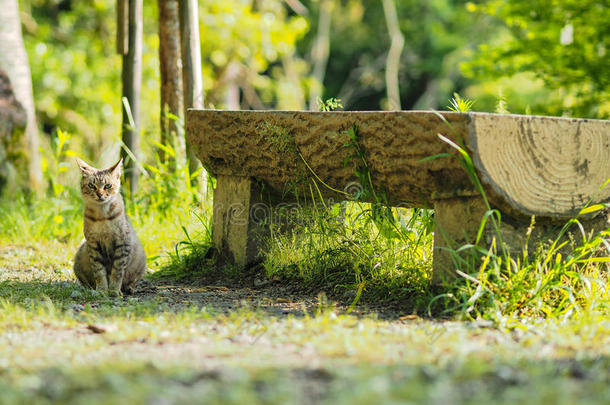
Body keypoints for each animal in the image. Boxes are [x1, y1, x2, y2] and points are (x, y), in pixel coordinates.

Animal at [72, 157, 145, 294]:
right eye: (91, 186)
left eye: (108, 186)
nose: (100, 194)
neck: (102, 217)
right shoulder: (93, 244)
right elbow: (99, 271)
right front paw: (102, 290)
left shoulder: (122, 242)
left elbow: (117, 271)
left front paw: (114, 290)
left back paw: (129, 288)